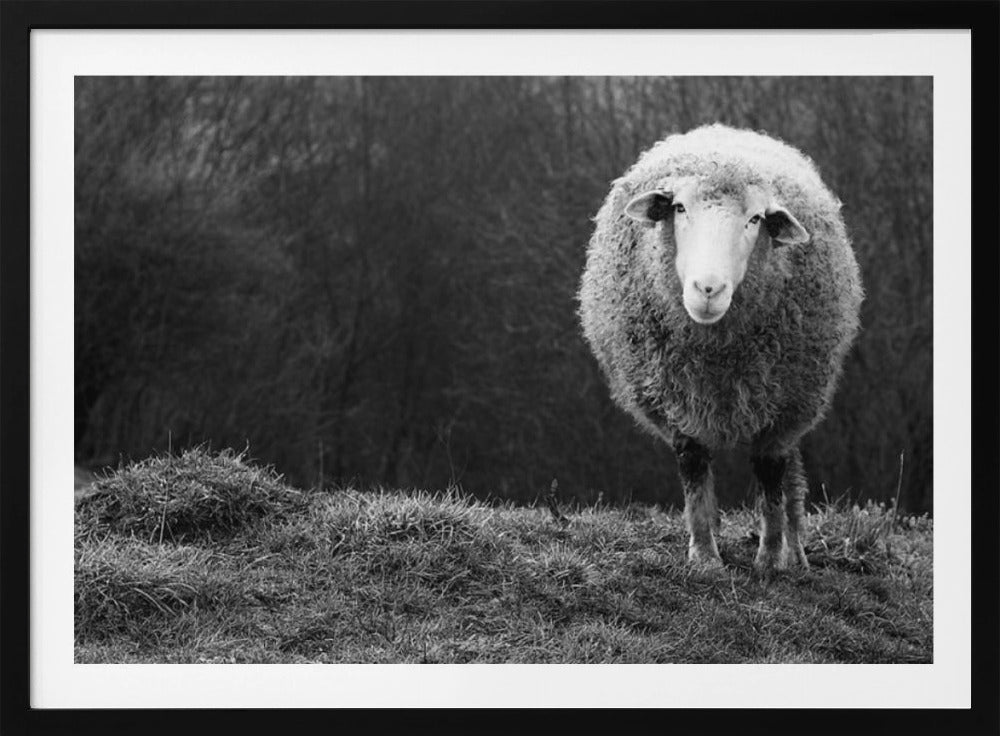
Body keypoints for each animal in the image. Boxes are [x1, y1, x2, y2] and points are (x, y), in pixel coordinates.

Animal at [578, 124, 863, 572]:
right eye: (678, 208)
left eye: (755, 219)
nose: (707, 289)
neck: (717, 356)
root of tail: (723, 130)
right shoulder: (677, 399)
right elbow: (694, 468)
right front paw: (704, 556)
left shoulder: (782, 407)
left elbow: (771, 476)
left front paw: (770, 558)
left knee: (791, 477)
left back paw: (796, 553)